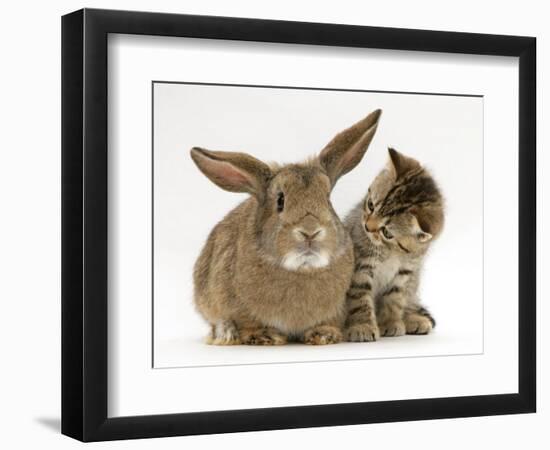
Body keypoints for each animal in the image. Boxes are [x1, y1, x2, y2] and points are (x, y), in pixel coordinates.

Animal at [190, 109, 384, 344]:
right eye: (280, 200)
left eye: (327, 199)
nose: (310, 232)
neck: (302, 269)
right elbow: (247, 324)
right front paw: (264, 336)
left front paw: (324, 335)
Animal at [348, 148, 446, 342]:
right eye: (371, 205)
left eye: (387, 232)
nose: (367, 227)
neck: (391, 252)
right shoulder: (361, 266)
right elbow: (359, 297)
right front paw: (363, 326)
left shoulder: (406, 272)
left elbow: (394, 299)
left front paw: (390, 323)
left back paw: (414, 319)